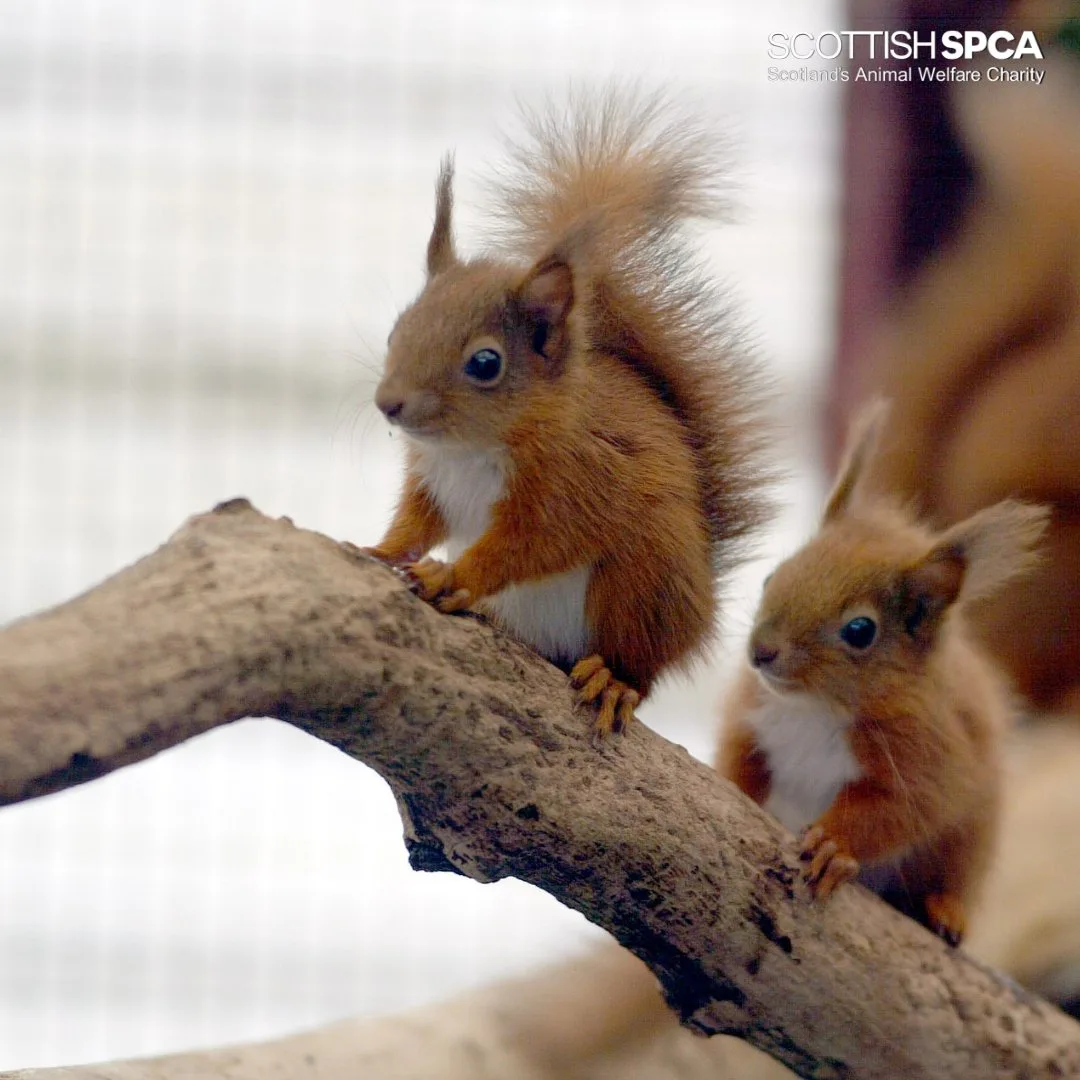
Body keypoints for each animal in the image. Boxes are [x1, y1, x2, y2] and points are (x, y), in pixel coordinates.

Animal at [364, 91, 770, 735]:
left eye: (485, 362)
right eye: (398, 328)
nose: (389, 404)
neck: (473, 448)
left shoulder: (574, 484)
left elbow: (527, 546)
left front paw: (454, 574)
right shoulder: (431, 481)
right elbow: (416, 523)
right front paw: (384, 551)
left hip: (643, 581)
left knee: (638, 663)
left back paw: (613, 680)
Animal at [717, 401, 1049, 945]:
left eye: (860, 630)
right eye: (772, 576)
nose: (760, 652)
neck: (816, 707)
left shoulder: (928, 761)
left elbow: (892, 813)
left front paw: (833, 845)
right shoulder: (752, 721)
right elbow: (739, 763)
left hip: (970, 842)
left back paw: (945, 911)